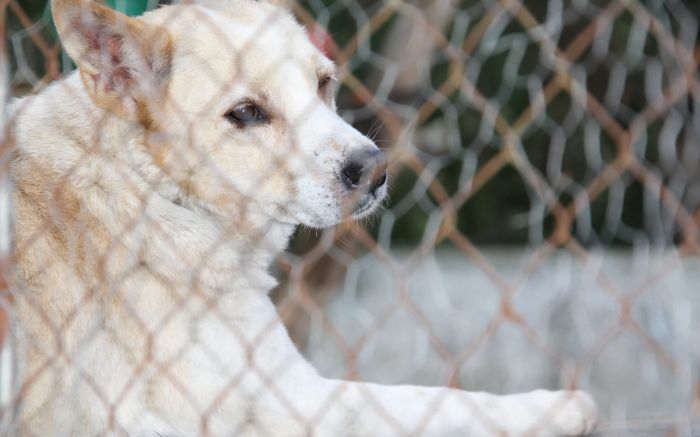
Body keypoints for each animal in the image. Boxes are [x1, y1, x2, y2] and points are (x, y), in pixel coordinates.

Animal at [5, 0, 600, 432]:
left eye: (323, 83)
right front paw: (558, 409)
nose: (376, 170)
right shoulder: (284, 401)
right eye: (246, 113)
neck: (150, 188)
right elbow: (431, 401)